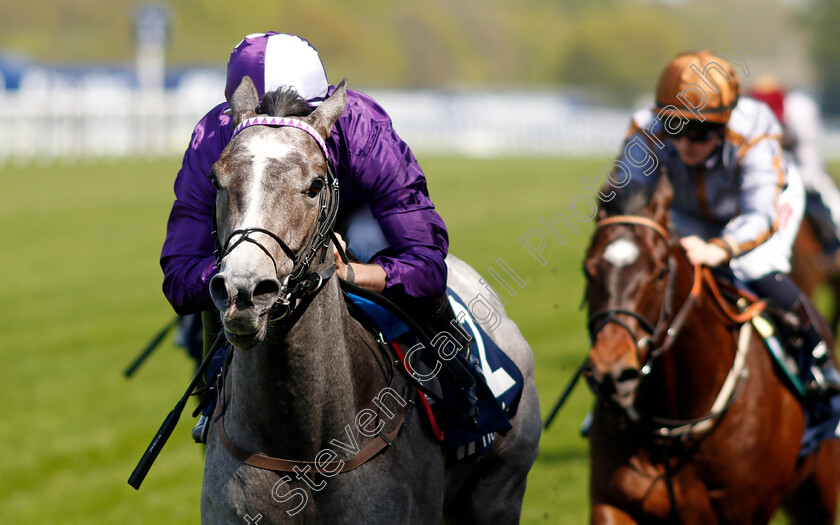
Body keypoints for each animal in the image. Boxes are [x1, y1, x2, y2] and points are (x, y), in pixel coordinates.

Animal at [584, 175, 840, 520]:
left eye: (660, 271)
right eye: (588, 270)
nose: (611, 373)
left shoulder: (742, 509)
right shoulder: (613, 501)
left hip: (818, 490)